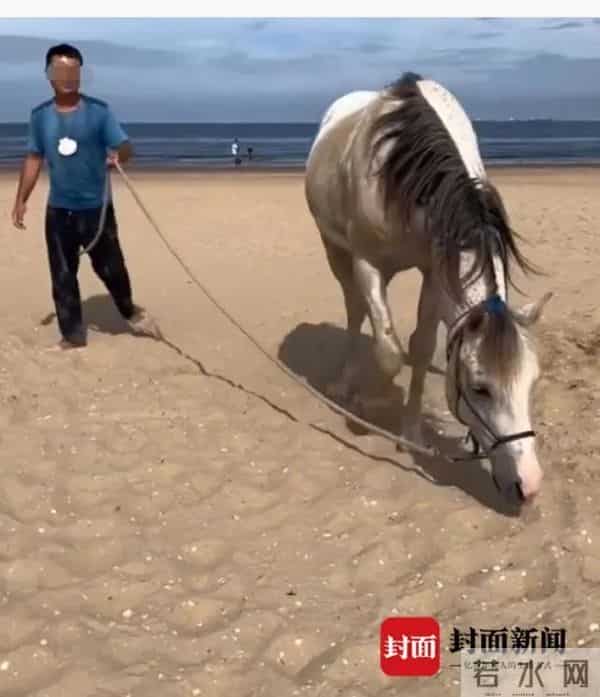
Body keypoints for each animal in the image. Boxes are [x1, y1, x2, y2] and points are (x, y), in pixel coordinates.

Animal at [304, 72, 552, 506]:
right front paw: (372, 401)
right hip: (334, 248)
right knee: (354, 310)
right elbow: (389, 354)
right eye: (480, 388)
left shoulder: (437, 273)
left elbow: (420, 348)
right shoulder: (367, 263)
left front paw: (411, 433)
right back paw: (346, 383)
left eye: (533, 382)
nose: (529, 484)